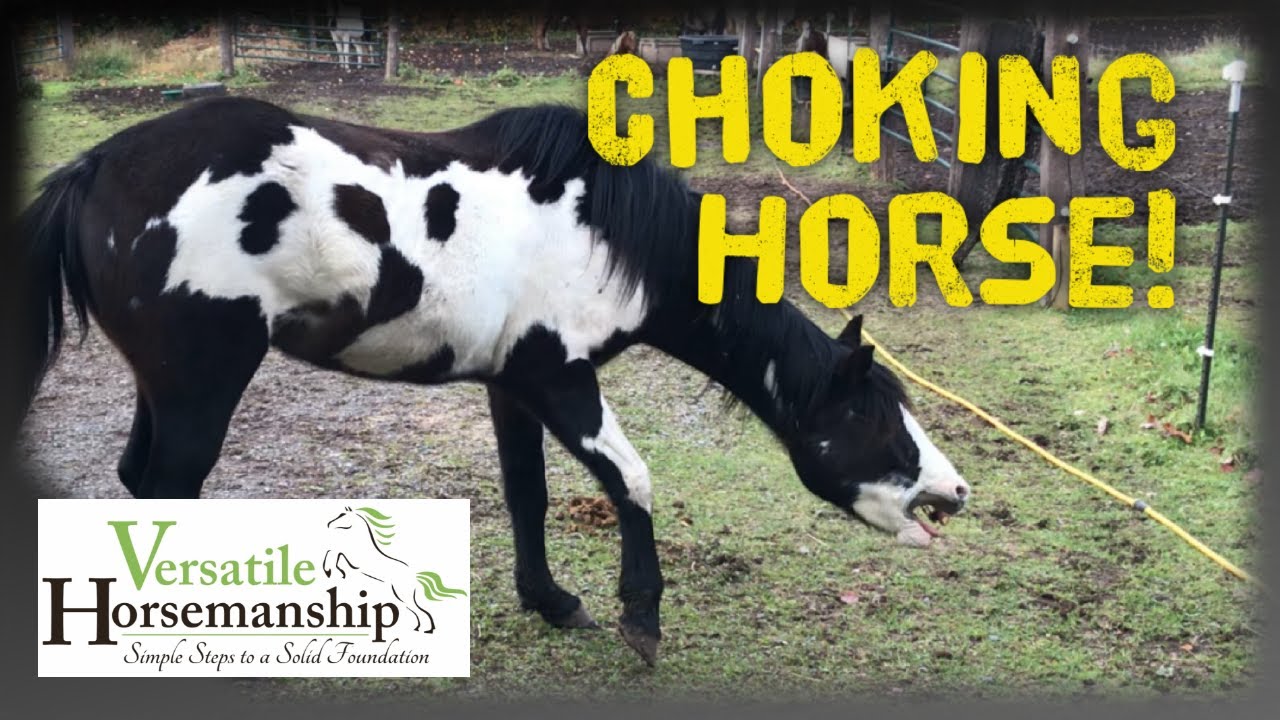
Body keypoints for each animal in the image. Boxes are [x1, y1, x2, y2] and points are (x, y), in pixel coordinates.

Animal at [323, 506, 468, 634]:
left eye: (343, 515)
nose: (329, 524)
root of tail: (414, 576)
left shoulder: (351, 557)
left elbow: (333, 552)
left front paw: (329, 571)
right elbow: (334, 553)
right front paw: (338, 572)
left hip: (403, 594)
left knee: (420, 610)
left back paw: (426, 629)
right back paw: (421, 628)